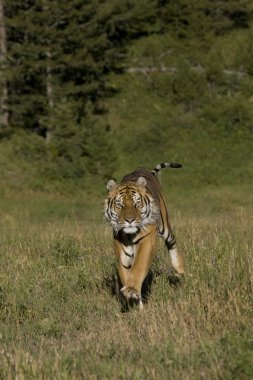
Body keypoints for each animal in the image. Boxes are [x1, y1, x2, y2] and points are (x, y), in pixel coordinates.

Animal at [104, 163, 185, 308]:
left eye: (137, 203)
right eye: (120, 205)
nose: (129, 220)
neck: (129, 236)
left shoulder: (147, 241)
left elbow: (139, 266)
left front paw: (131, 290)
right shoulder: (121, 250)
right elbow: (125, 272)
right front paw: (135, 301)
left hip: (164, 225)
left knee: (172, 242)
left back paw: (179, 270)